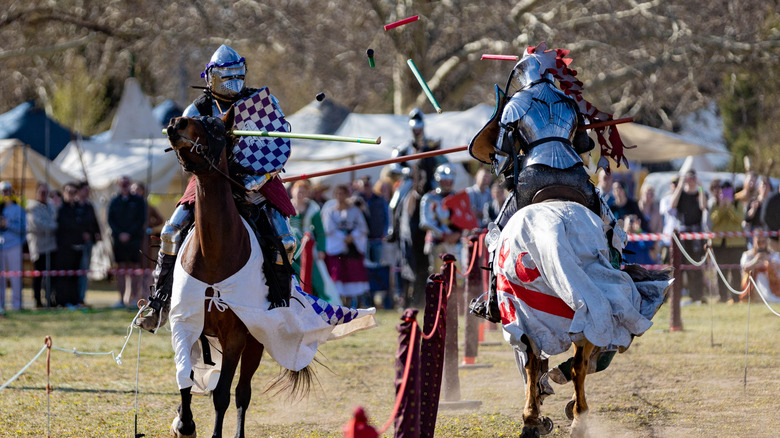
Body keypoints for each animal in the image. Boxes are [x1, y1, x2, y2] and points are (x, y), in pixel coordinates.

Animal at [165, 108, 308, 438]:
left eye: (218, 129)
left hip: (255, 340)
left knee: (243, 392)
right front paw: (184, 422)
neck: (214, 253)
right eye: (194, 116)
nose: (176, 124)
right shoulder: (184, 323)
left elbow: (222, 394)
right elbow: (185, 379)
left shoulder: (235, 337)